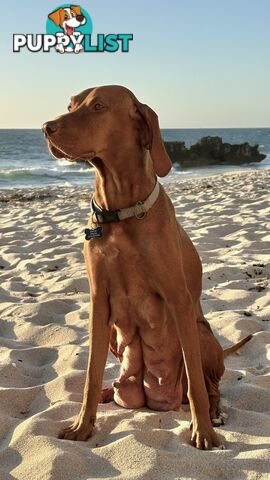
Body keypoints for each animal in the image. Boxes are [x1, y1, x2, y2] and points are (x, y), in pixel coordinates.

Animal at [42, 84, 251, 448]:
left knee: (208, 387)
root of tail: (153, 399)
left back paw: (213, 414)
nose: (46, 128)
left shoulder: (179, 300)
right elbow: (90, 373)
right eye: (70, 105)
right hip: (114, 336)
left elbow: (196, 384)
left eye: (98, 106)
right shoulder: (99, 303)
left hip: (200, 332)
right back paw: (108, 392)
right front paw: (83, 424)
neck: (121, 212)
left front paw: (203, 432)